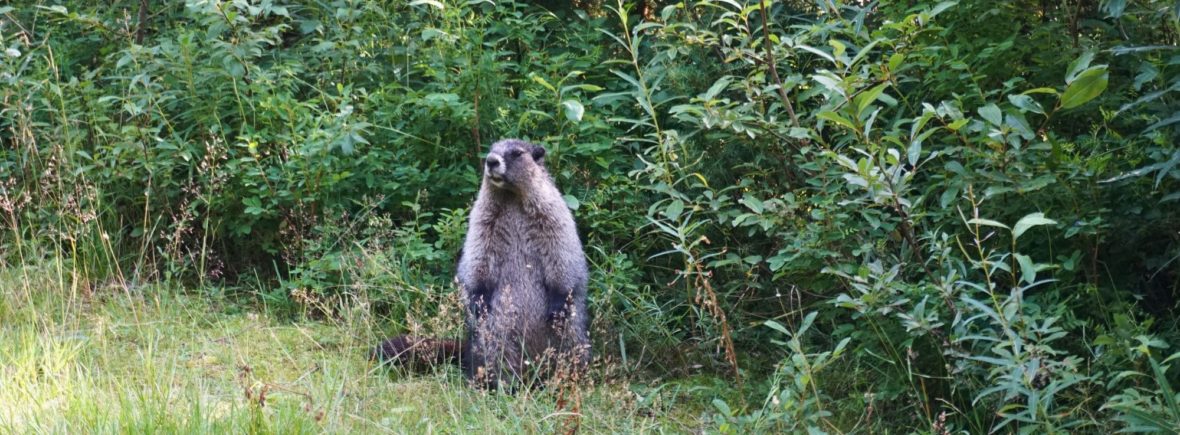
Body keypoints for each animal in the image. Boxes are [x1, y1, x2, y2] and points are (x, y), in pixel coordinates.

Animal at [374, 139, 590, 389]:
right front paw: (478, 300)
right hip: (494, 331)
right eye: (491, 148)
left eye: (517, 153)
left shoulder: (552, 212)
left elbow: (563, 252)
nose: (491, 160)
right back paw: (497, 384)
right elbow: (478, 254)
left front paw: (558, 303)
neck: (511, 197)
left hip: (572, 334)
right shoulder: (482, 218)